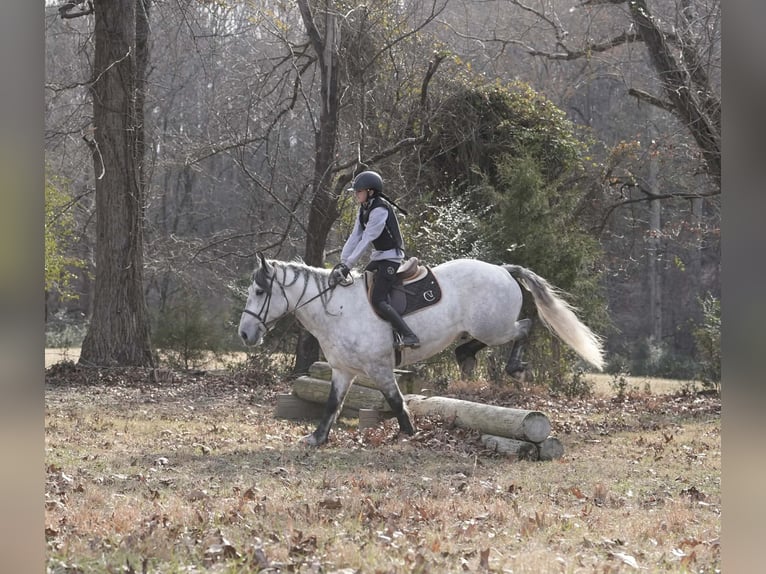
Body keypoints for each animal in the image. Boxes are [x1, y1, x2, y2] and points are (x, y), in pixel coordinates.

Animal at [238, 253, 604, 446]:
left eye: (260, 291)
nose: (244, 334)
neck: (335, 309)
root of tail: (502, 269)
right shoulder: (343, 371)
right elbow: (331, 406)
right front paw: (316, 438)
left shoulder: (380, 369)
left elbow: (396, 402)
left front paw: (408, 434)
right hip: (486, 327)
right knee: (489, 339)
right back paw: (466, 357)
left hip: (495, 326)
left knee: (526, 326)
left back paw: (512, 366)